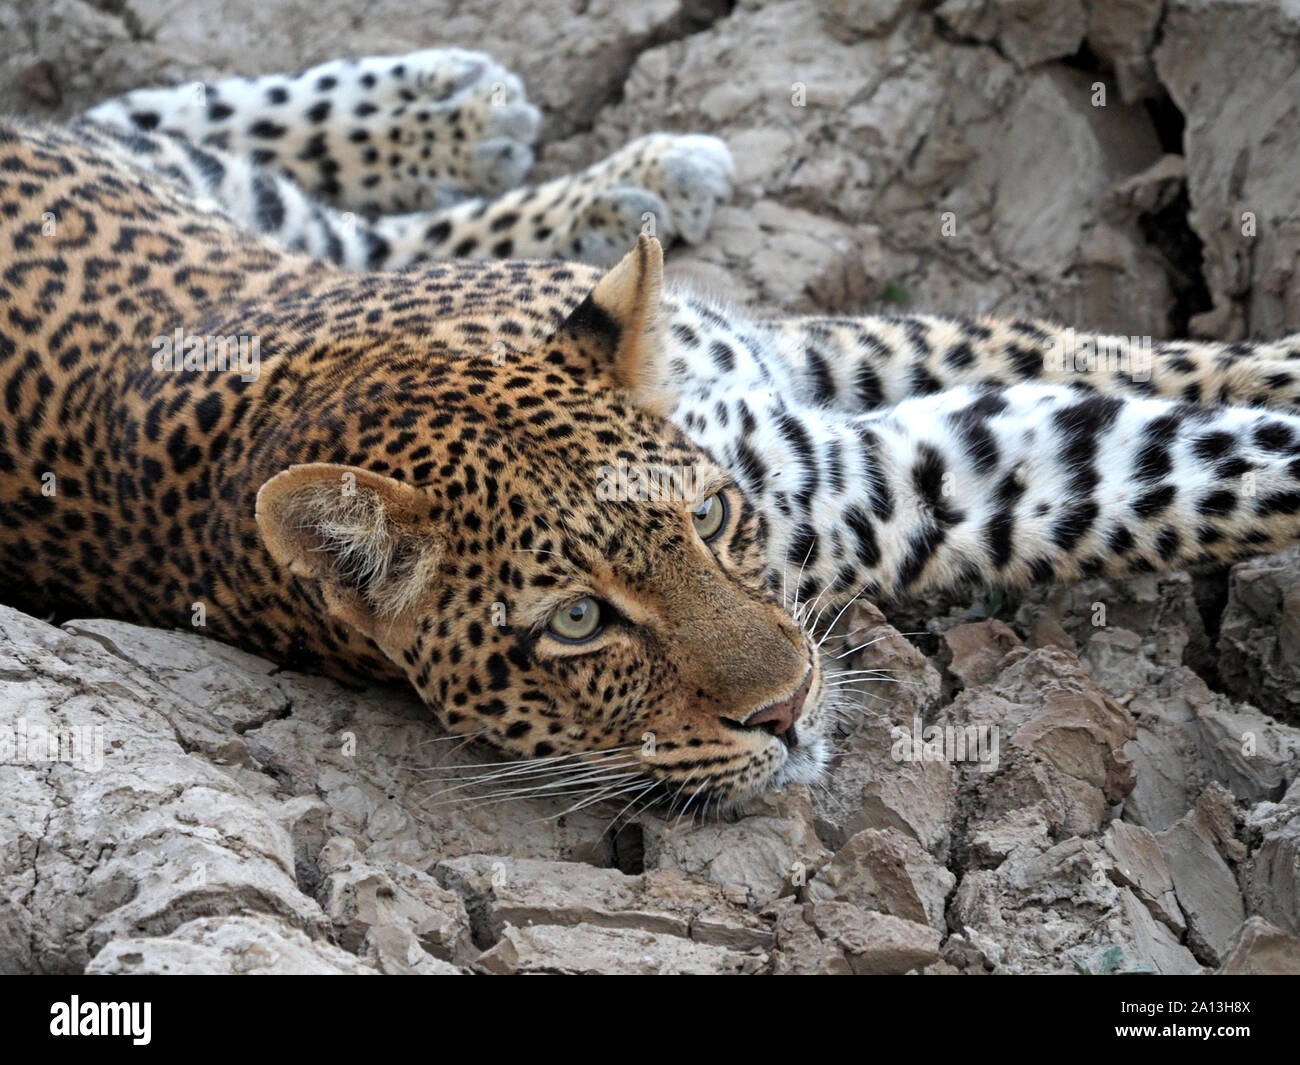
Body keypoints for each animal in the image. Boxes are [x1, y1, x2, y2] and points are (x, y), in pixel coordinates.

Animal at [5, 49, 1300, 816]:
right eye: (577, 623)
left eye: (713, 518)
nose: (785, 712)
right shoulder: (887, 481)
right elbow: (1188, 465)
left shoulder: (800, 367)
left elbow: (1076, 350)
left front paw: (1272, 357)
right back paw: (576, 155)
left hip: (225, 202)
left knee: (130, 115)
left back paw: (509, 125)